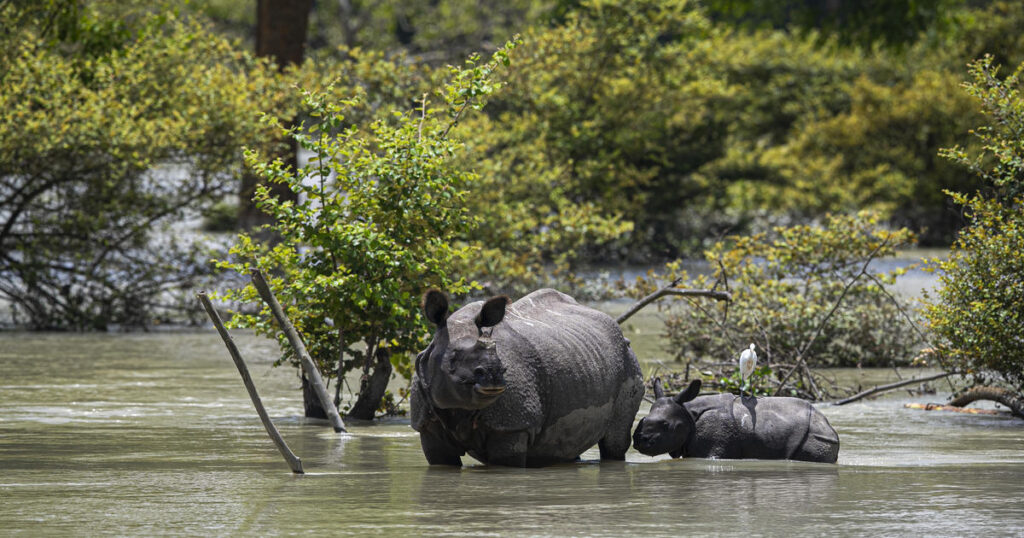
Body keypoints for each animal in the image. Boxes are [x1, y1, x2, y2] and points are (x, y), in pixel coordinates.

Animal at [409, 288, 643, 465]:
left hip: (628, 360)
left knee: (614, 443)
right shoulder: (426, 425)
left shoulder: (514, 425)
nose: (494, 374)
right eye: (453, 358)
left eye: (497, 353)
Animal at [630, 377, 839, 461]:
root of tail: (827, 425)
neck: (688, 412)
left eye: (666, 425)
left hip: (814, 436)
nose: (639, 441)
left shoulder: (714, 447)